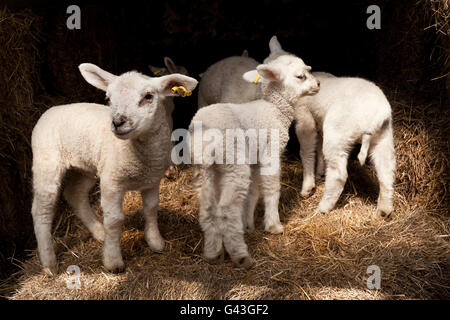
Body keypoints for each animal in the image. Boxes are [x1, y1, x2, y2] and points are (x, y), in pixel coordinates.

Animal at [30, 63, 198, 276]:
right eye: (109, 99)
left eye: (148, 96)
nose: (118, 122)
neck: (139, 155)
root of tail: (52, 109)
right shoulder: (112, 182)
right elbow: (115, 220)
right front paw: (113, 261)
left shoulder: (152, 180)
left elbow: (151, 208)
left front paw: (155, 242)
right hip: (47, 162)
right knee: (41, 210)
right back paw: (49, 263)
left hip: (85, 166)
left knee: (75, 194)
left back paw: (99, 232)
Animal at [190, 54, 320, 268]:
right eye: (300, 76)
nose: (318, 84)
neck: (276, 109)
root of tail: (205, 135)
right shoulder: (270, 151)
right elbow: (271, 187)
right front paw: (273, 225)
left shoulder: (254, 156)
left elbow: (253, 192)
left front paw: (248, 223)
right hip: (234, 162)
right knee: (226, 209)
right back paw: (240, 254)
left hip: (203, 168)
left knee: (207, 207)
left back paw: (213, 251)